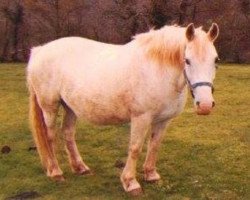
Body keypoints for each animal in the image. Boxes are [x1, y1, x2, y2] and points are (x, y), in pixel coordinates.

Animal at [26, 23, 219, 195]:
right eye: (187, 60)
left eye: (215, 60)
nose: (205, 105)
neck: (158, 71)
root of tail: (40, 51)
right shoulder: (141, 118)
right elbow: (135, 148)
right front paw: (130, 182)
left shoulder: (163, 120)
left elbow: (154, 145)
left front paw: (151, 175)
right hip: (49, 107)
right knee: (50, 137)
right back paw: (56, 172)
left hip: (70, 108)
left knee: (67, 133)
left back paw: (80, 167)